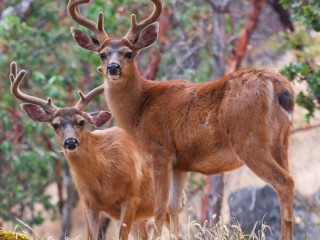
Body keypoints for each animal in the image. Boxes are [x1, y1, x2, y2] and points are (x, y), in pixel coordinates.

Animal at [9, 62, 185, 240]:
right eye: (55, 125)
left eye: (81, 122)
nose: (70, 142)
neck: (104, 179)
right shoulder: (87, 202)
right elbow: (91, 236)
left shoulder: (132, 198)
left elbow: (122, 235)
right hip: (141, 217)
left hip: (171, 206)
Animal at [67, 0, 296, 238]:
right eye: (102, 54)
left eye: (129, 53)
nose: (113, 68)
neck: (140, 108)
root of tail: (279, 86)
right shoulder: (181, 164)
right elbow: (173, 208)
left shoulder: (161, 152)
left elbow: (159, 209)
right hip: (281, 140)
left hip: (248, 140)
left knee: (285, 182)